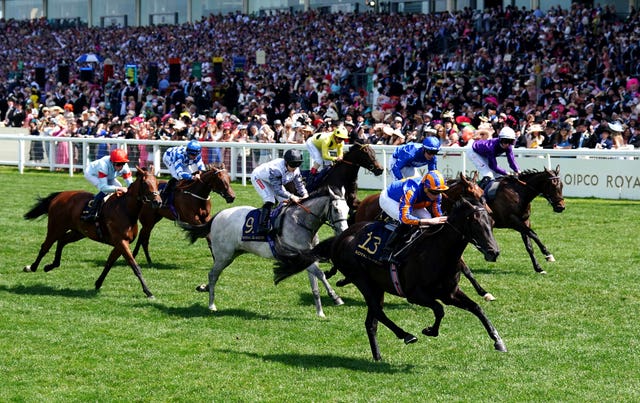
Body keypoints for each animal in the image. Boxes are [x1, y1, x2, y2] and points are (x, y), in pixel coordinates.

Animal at [23, 166, 162, 298]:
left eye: (157, 182)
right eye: (145, 184)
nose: (158, 202)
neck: (126, 210)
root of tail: (60, 195)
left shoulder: (120, 244)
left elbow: (109, 263)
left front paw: (98, 283)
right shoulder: (121, 242)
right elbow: (135, 266)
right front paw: (148, 292)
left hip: (78, 232)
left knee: (62, 241)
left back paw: (50, 266)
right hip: (56, 227)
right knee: (45, 247)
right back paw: (31, 267)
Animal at [180, 186, 350, 318]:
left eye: (348, 209)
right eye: (336, 209)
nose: (343, 231)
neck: (300, 222)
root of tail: (218, 215)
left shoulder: (307, 258)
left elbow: (315, 285)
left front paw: (320, 312)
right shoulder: (299, 256)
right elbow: (321, 274)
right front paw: (336, 298)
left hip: (231, 254)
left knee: (214, 274)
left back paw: (204, 288)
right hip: (224, 256)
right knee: (213, 275)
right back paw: (211, 305)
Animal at [276, 194, 504, 362]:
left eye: (492, 221)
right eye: (475, 222)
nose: (493, 252)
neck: (438, 251)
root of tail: (340, 238)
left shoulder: (450, 293)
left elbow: (477, 308)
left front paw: (498, 340)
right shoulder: (415, 294)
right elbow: (439, 309)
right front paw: (430, 330)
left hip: (377, 286)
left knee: (371, 322)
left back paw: (377, 356)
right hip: (362, 280)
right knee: (378, 312)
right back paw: (406, 335)